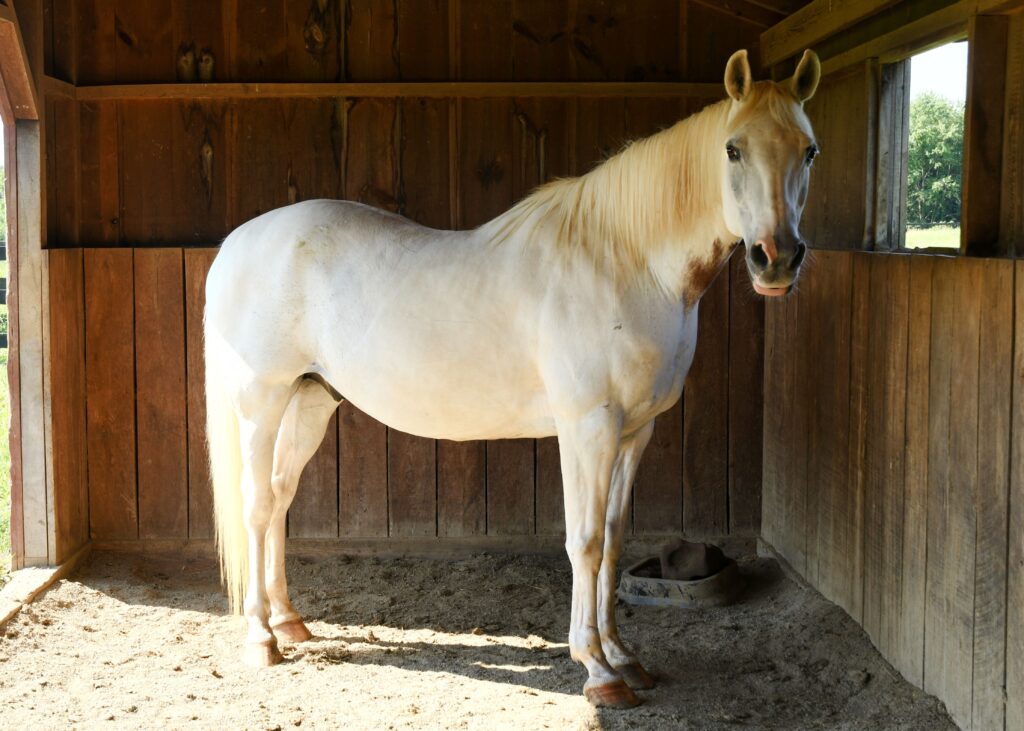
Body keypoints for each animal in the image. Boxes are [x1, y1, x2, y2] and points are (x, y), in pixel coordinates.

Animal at [203, 47, 819, 704]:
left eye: (809, 150)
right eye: (733, 148)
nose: (776, 259)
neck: (625, 264)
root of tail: (236, 243)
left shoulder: (635, 432)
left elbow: (614, 540)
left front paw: (624, 657)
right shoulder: (587, 428)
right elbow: (585, 542)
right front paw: (597, 669)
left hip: (312, 400)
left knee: (279, 497)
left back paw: (290, 623)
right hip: (262, 401)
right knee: (257, 504)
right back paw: (261, 639)